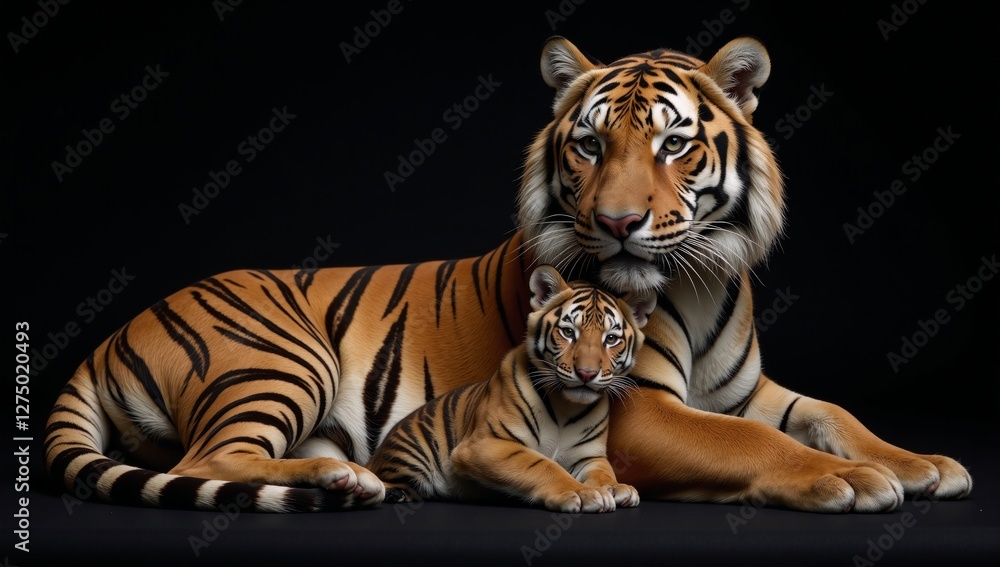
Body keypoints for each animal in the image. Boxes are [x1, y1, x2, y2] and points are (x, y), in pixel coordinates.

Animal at [367, 265, 652, 513]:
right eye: (568, 332)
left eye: (611, 339)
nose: (586, 373)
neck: (566, 406)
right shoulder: (487, 444)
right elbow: (543, 465)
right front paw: (583, 493)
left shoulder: (589, 457)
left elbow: (604, 472)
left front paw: (615, 488)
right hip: (412, 449)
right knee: (383, 475)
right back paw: (394, 492)